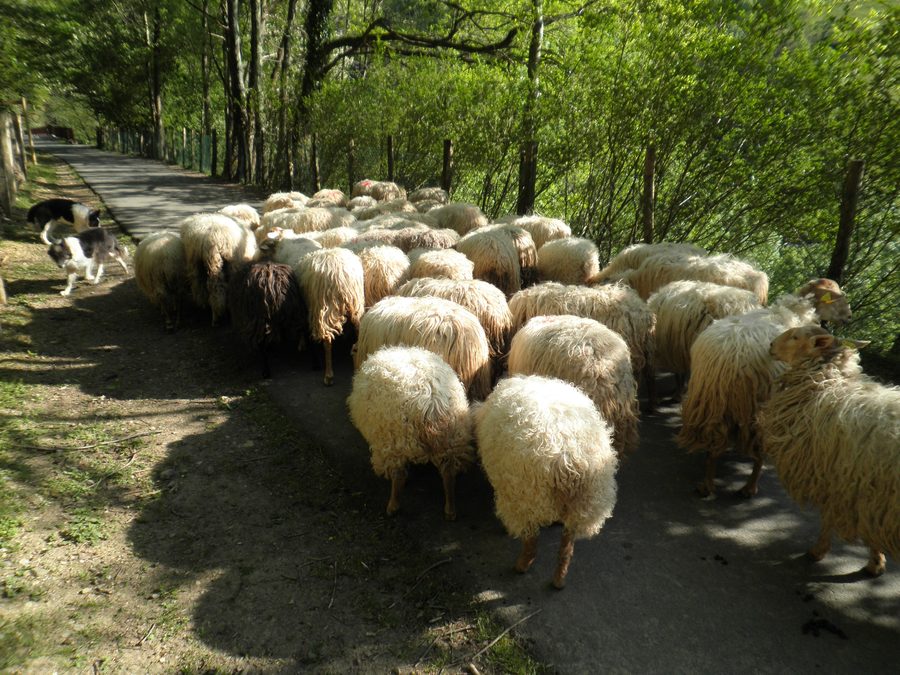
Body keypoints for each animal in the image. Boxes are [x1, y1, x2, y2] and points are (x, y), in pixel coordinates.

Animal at [295, 247, 365, 385]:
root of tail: (340, 274)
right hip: (356, 303)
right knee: (358, 330)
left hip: (325, 309)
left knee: (327, 341)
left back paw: (328, 375)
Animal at [347, 346, 475, 520]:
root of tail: (431, 400)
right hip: (452, 439)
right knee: (449, 473)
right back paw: (450, 510)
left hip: (395, 440)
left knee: (398, 475)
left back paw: (393, 506)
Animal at [474, 374, 618, 588]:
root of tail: (568, 457)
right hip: (585, 500)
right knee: (567, 544)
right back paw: (559, 579)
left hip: (528, 495)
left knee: (531, 539)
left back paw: (521, 566)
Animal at [677, 278, 852, 498]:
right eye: (837, 297)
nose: (849, 317)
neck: (793, 312)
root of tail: (728, 359)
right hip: (758, 404)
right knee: (758, 449)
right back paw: (750, 487)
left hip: (710, 400)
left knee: (714, 445)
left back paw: (707, 484)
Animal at [759, 326, 899, 576]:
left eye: (796, 337)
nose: (771, 345)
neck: (827, 385)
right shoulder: (864, 492)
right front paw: (876, 562)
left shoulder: (834, 480)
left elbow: (828, 518)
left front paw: (818, 551)